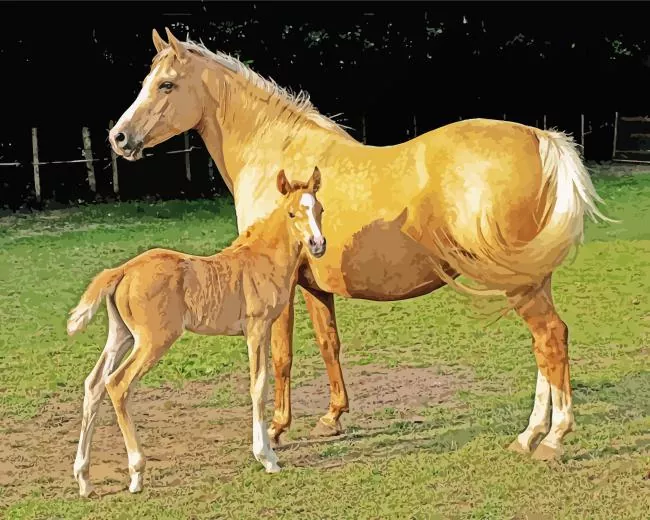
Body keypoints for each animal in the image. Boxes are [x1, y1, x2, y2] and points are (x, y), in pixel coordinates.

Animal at [68, 168, 325, 497]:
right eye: (292, 213)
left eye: (320, 210)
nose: (318, 243)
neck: (262, 260)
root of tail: (123, 270)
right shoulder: (257, 327)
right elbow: (258, 385)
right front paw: (267, 457)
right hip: (153, 340)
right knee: (117, 383)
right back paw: (136, 473)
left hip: (121, 335)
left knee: (94, 385)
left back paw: (84, 479)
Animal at [107, 27, 614, 463]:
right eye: (146, 81)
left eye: (166, 84)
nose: (118, 137)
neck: (278, 152)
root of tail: (540, 137)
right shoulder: (314, 286)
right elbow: (329, 344)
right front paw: (332, 418)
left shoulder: (279, 293)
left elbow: (281, 357)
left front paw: (276, 430)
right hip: (530, 279)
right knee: (545, 348)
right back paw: (530, 435)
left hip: (520, 284)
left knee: (550, 340)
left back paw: (551, 439)